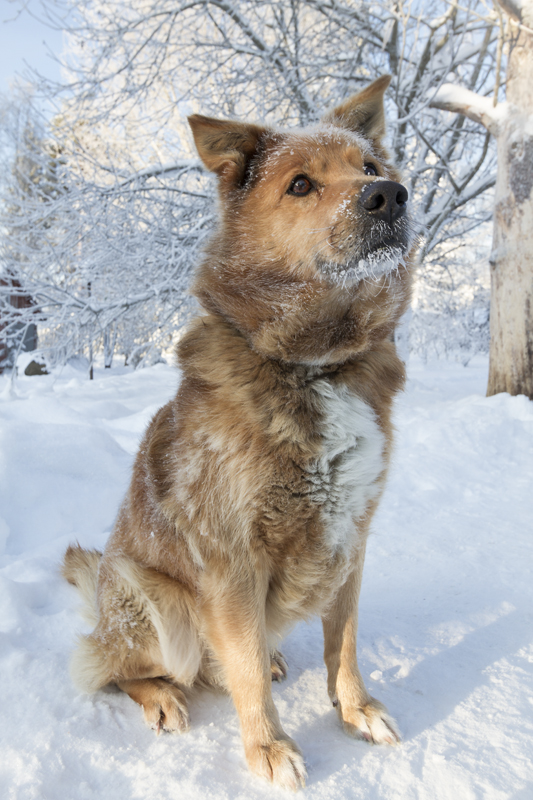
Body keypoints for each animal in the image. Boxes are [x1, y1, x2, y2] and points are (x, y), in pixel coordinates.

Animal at [61, 75, 412, 788]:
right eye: (300, 184)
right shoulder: (230, 558)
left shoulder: (354, 537)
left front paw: (355, 708)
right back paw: (162, 695)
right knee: (117, 666)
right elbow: (244, 663)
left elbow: (344, 641)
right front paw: (268, 746)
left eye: (369, 167)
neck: (316, 364)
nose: (389, 195)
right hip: (150, 595)